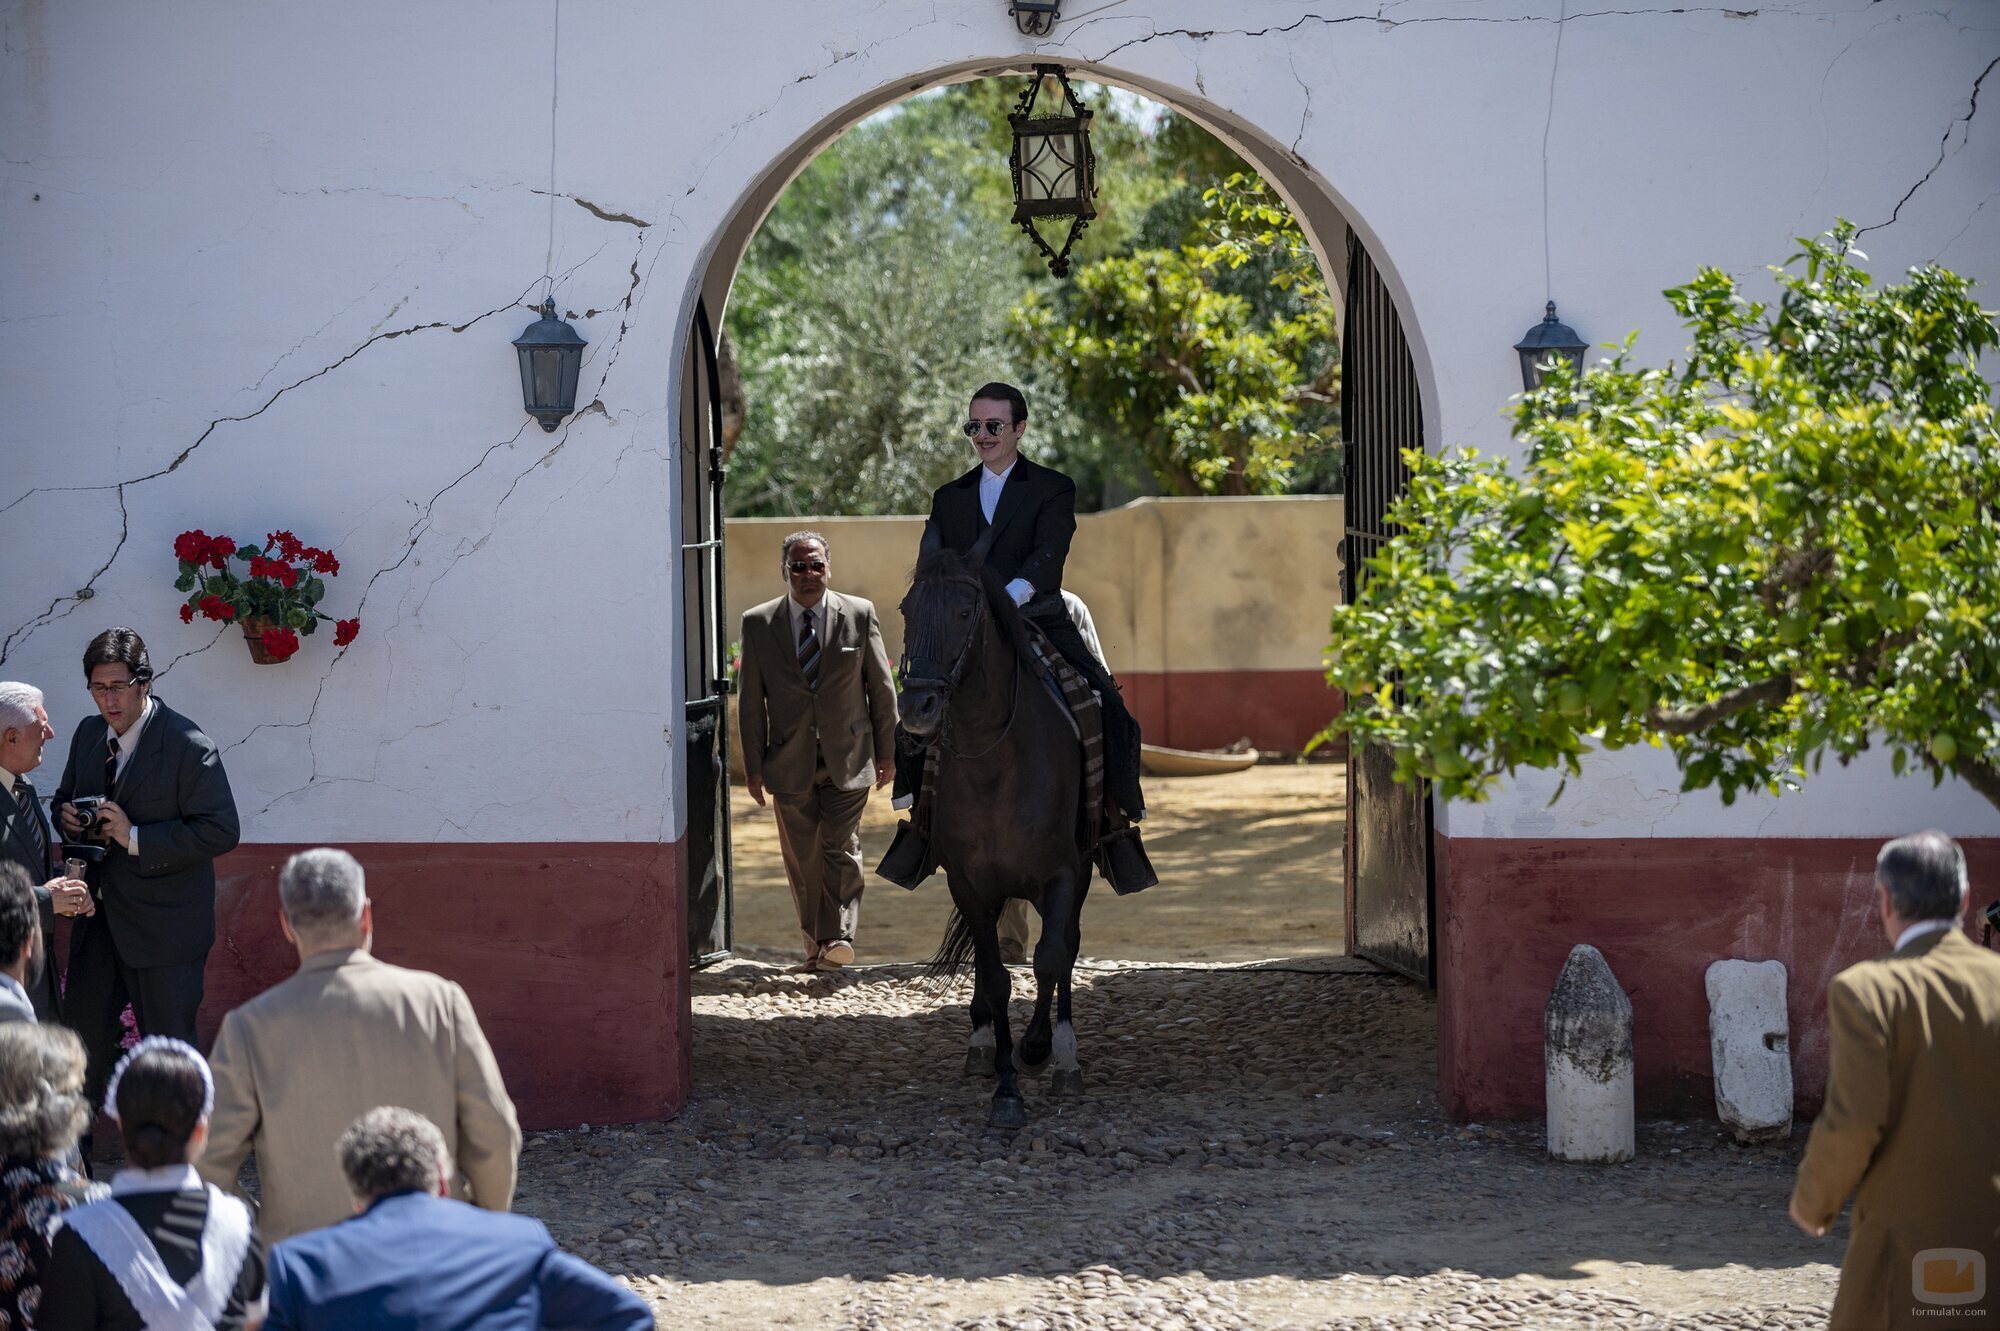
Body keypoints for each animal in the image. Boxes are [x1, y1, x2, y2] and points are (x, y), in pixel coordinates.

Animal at [904, 547, 1096, 1119]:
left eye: (966, 612)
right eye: (906, 610)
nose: (916, 708)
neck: (995, 762)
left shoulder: (1062, 874)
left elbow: (1052, 957)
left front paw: (1038, 1050)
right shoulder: (968, 884)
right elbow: (994, 977)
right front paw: (1006, 1088)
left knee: (1067, 947)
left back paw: (1061, 1053)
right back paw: (983, 1043)